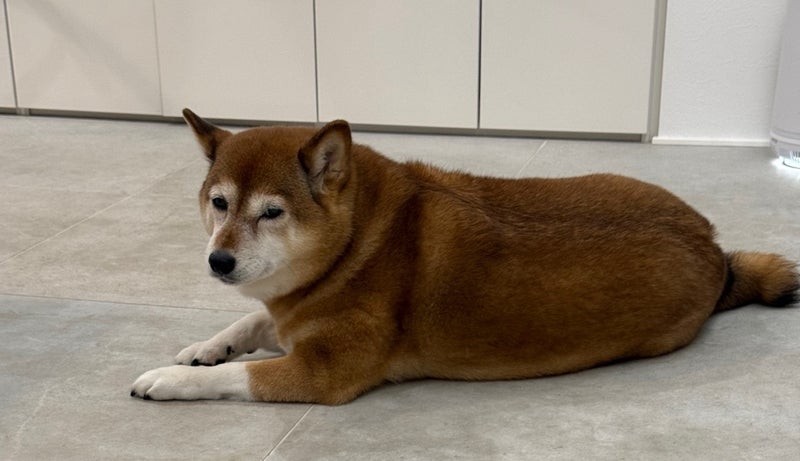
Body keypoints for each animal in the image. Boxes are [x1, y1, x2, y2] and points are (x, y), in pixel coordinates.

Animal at [131, 109, 799, 404]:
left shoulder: (324, 372)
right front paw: (204, 347)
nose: (218, 262)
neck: (357, 242)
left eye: (271, 213)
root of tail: (713, 245)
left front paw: (171, 378)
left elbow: (236, 375)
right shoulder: (290, 315)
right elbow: (250, 320)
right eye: (219, 203)